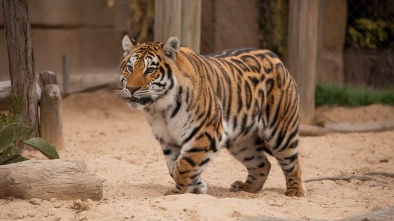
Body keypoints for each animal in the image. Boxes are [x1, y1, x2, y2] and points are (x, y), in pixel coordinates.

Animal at [118, 35, 306, 197]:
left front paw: (178, 192)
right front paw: (197, 187)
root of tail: (275, 57)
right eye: (130, 68)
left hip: (281, 132)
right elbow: (175, 166)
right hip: (242, 143)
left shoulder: (206, 132)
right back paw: (245, 188)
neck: (160, 108)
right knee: (263, 164)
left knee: (293, 162)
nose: (131, 88)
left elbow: (184, 165)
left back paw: (295, 192)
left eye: (150, 70)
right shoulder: (168, 140)